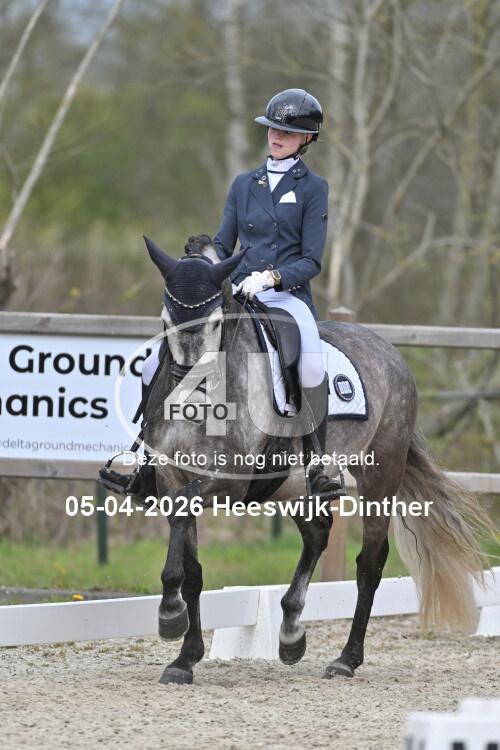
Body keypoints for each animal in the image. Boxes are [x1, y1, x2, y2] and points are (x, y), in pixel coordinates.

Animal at [138, 234, 494, 685]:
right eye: (166, 320)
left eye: (217, 322)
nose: (188, 397)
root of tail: (387, 350)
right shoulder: (171, 477)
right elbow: (193, 569)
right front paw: (184, 656)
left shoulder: (228, 481)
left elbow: (186, 525)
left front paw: (169, 616)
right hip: (293, 487)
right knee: (317, 536)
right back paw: (291, 633)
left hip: (380, 475)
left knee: (369, 564)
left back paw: (346, 658)